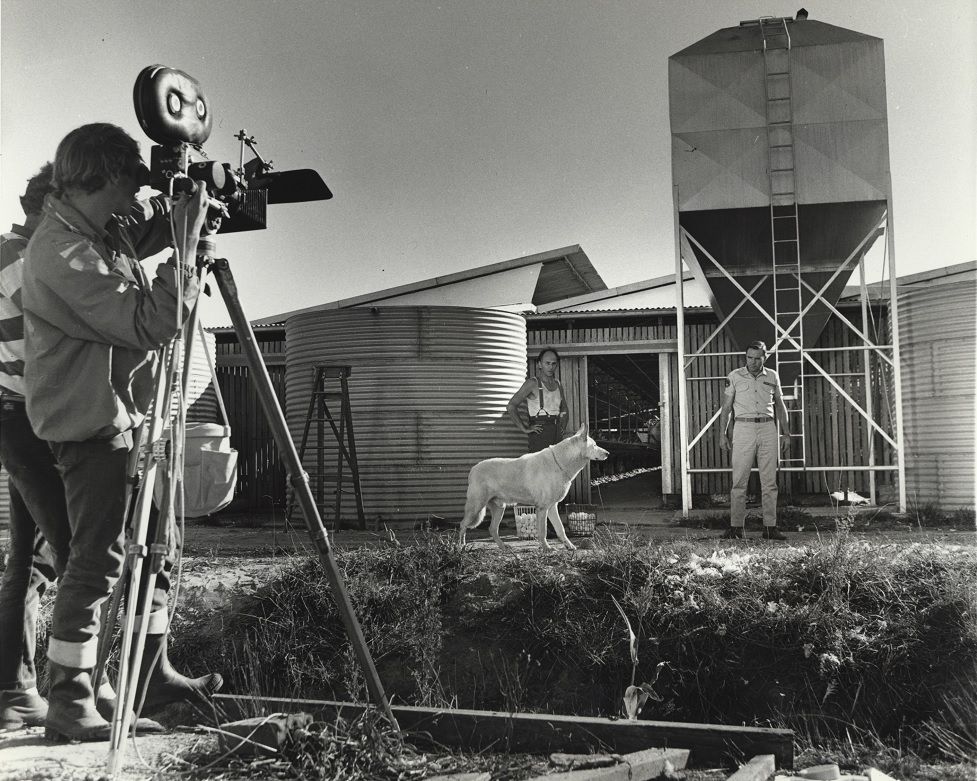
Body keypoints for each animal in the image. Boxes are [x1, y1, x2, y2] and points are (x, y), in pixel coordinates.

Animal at [458, 424, 609, 550]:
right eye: (595, 445)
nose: (608, 454)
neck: (560, 463)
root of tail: (473, 469)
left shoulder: (552, 507)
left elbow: (560, 529)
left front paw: (569, 546)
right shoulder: (542, 508)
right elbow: (543, 531)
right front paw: (547, 548)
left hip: (499, 508)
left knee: (492, 529)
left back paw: (503, 547)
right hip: (476, 507)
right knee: (463, 525)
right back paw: (461, 547)